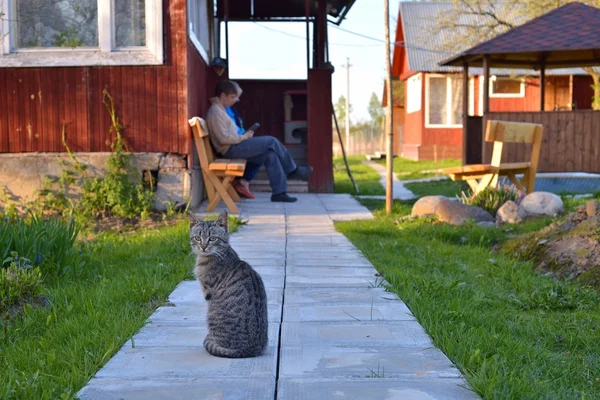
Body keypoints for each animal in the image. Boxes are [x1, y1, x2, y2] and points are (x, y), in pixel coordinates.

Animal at [189, 211, 268, 358]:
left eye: (212, 238)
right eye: (197, 238)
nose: (203, 247)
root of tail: (249, 349)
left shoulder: (208, 293)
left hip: (212, 312)